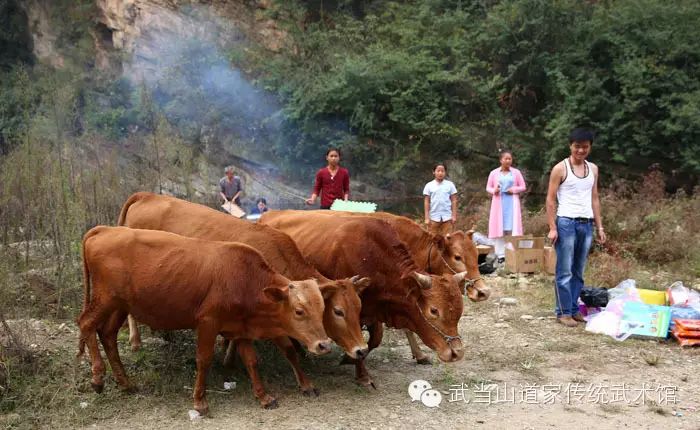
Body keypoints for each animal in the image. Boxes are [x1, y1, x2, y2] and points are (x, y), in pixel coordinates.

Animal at [80, 225, 332, 414]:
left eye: (322, 309)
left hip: (120, 306)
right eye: (299, 311)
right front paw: (199, 401)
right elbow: (204, 359)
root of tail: (104, 230)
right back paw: (98, 378)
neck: (245, 279)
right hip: (105, 300)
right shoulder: (208, 323)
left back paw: (125, 383)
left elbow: (251, 361)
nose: (324, 345)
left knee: (107, 335)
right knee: (86, 324)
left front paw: (264, 397)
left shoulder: (239, 328)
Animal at [117, 191, 370, 396]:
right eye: (338, 311)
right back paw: (136, 341)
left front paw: (229, 356)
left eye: (359, 308)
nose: (361, 349)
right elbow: (288, 350)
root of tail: (147, 195)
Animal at [260, 211, 468, 386]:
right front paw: (362, 375)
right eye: (433, 310)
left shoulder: (373, 311)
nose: (456, 353)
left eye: (459, 311)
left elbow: (373, 341)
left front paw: (350, 360)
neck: (373, 257)